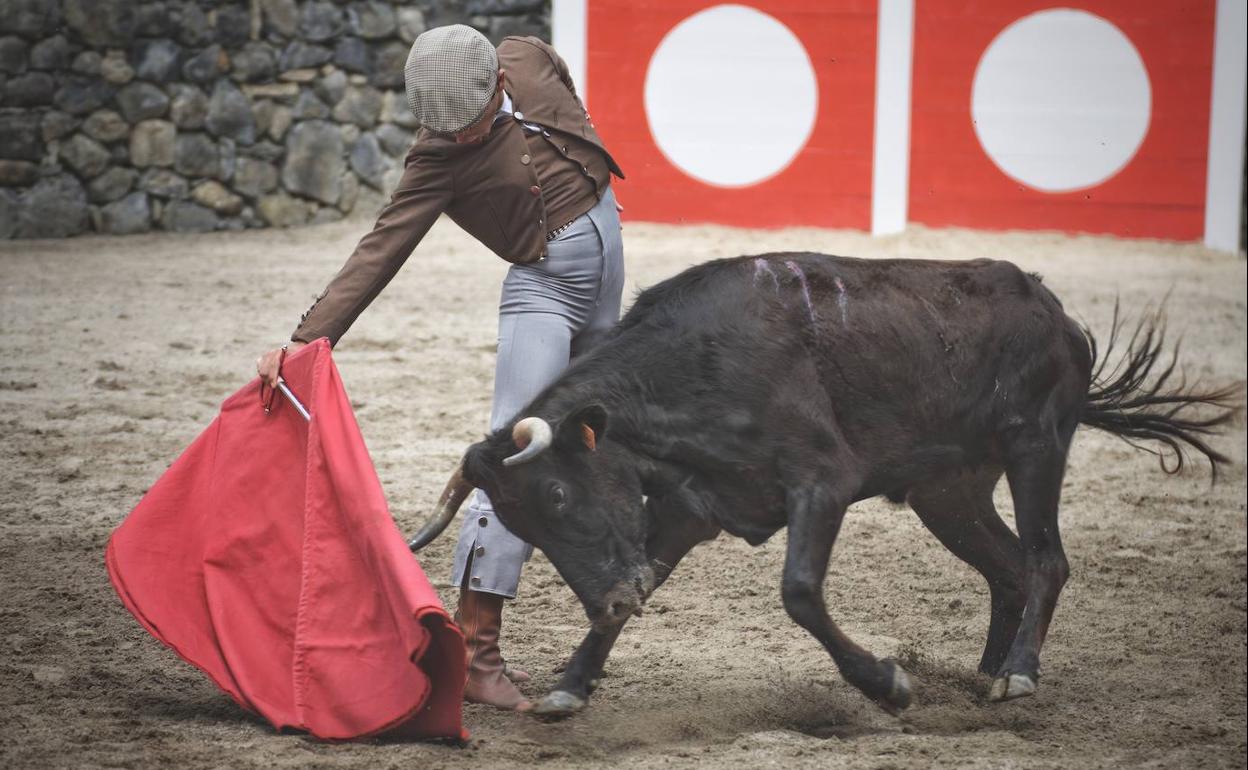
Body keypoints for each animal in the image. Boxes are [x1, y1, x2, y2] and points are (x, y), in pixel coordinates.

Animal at [411, 252, 1238, 713]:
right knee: (1008, 568)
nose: (610, 597)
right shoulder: (690, 508)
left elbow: (800, 592)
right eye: (519, 523)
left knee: (1046, 561)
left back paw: (1020, 676)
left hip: (1037, 447)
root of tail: (1057, 312)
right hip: (949, 491)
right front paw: (572, 685)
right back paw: (986, 673)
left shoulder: (822, 483)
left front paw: (887, 685)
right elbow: (645, 577)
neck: (692, 369)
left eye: (556, 495)